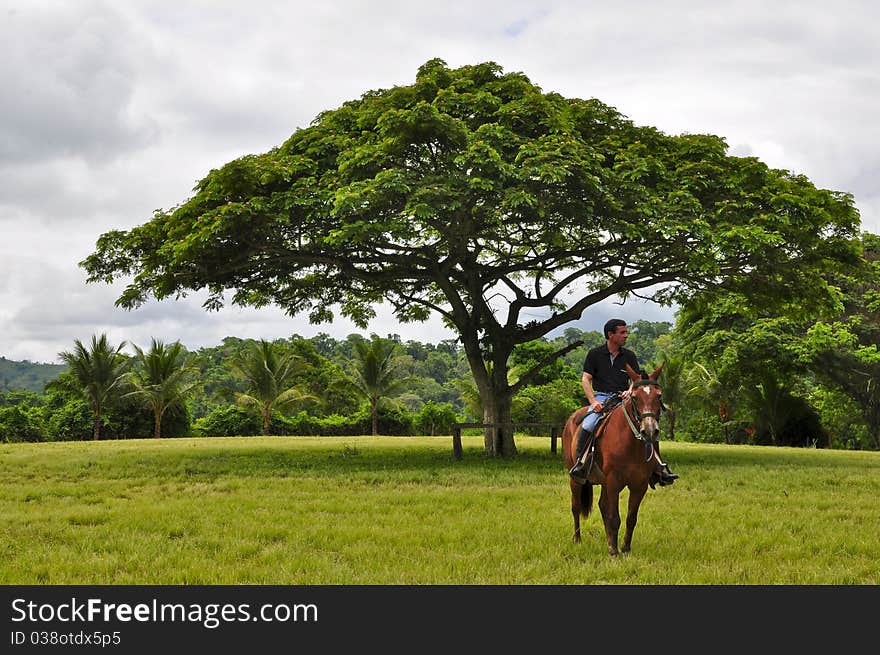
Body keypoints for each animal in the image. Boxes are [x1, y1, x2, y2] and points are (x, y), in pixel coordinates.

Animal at [564, 364, 668, 560]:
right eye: (634, 397)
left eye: (658, 396)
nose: (650, 431)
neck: (630, 443)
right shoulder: (613, 481)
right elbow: (614, 517)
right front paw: (614, 551)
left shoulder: (639, 484)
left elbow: (630, 518)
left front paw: (624, 548)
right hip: (576, 479)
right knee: (576, 506)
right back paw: (577, 539)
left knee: (602, 506)